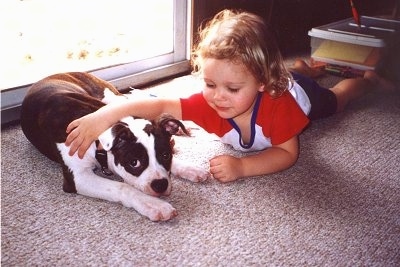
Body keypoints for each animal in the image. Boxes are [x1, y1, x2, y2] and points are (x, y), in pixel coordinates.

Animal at [20, 71, 211, 222]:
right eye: (134, 162)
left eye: (165, 155)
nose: (161, 185)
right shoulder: (78, 178)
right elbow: (122, 187)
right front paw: (154, 205)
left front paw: (190, 168)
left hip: (113, 98)